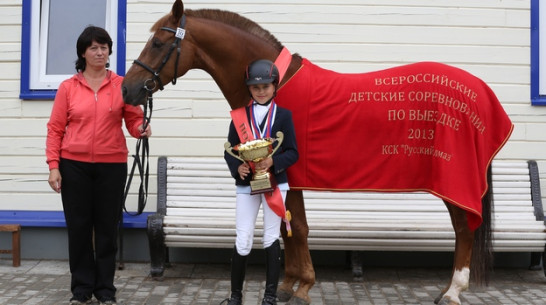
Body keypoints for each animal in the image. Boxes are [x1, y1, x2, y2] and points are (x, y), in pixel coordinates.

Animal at [121, 1, 496, 302]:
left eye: (158, 43)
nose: (128, 89)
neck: (274, 86)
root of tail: (477, 91)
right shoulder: (286, 178)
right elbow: (288, 229)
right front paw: (289, 285)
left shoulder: (287, 171)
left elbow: (297, 228)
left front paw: (302, 288)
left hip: (451, 182)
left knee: (464, 229)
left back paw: (452, 292)